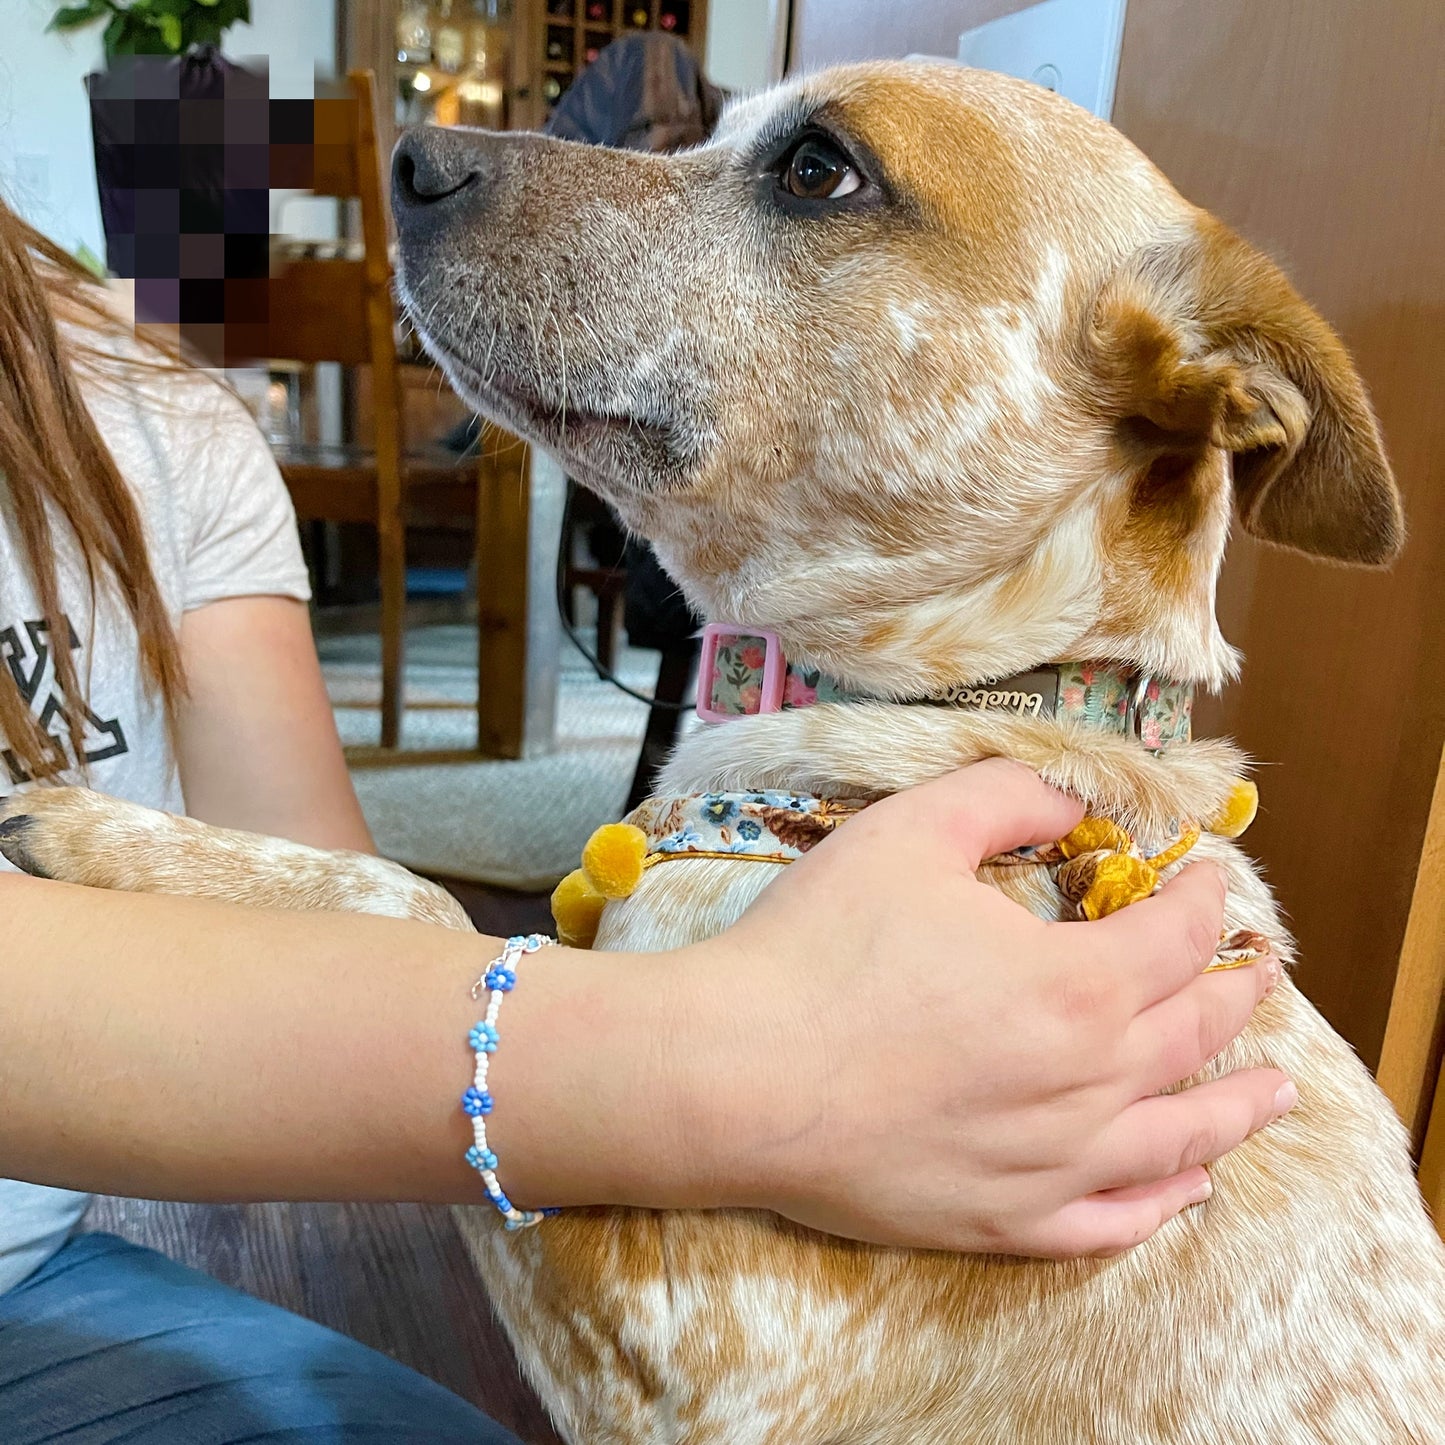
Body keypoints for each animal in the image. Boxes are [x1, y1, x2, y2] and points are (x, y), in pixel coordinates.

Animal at [2, 65, 1445, 1445]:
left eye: (817, 169)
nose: (410, 154)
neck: (972, 709)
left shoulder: (678, 1343)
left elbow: (424, 906)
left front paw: (97, 831)